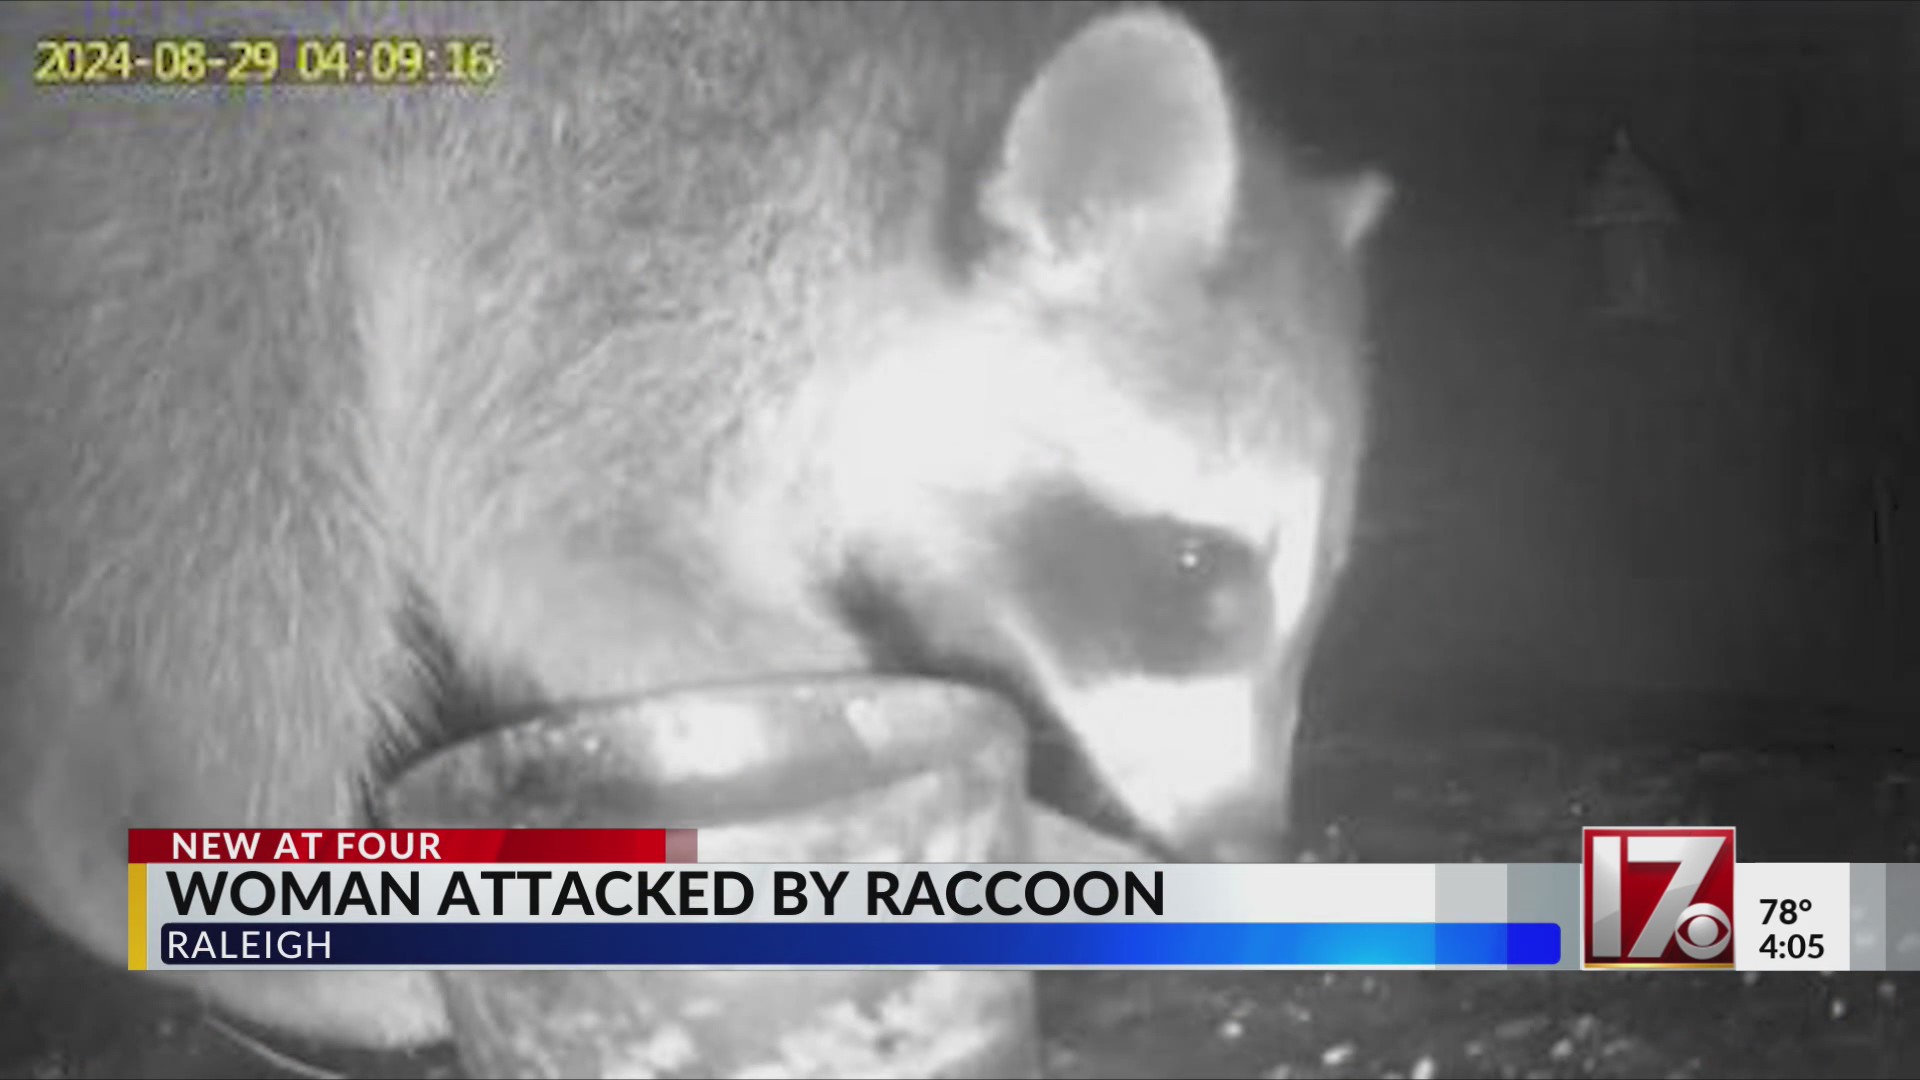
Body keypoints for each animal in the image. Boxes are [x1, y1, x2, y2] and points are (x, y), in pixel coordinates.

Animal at [0, 0, 1389, 1049]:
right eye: (1203, 571)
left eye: (1322, 597)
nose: (1252, 835)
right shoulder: (628, 235)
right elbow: (560, 550)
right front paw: (1059, 858)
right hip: (177, 188)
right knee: (240, 514)